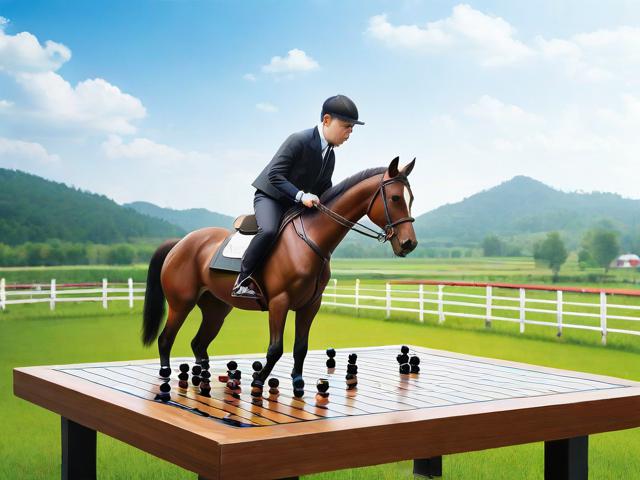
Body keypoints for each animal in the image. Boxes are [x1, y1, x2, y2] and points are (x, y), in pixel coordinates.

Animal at [141, 156, 418, 394]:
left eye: (410, 198)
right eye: (395, 198)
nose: (409, 244)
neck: (311, 240)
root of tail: (179, 243)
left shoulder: (310, 305)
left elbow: (300, 347)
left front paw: (297, 383)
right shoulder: (279, 302)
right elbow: (275, 349)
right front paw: (259, 380)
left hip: (216, 309)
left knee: (198, 343)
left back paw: (203, 377)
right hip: (181, 303)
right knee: (166, 339)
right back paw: (166, 373)